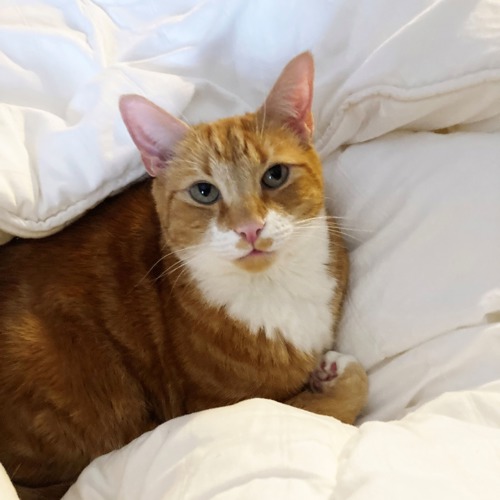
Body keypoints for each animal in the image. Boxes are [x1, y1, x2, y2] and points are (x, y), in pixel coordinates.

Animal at [0, 51, 368, 500]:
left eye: (275, 175)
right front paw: (333, 376)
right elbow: (334, 404)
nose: (250, 229)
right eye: (204, 192)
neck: (271, 291)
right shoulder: (224, 407)